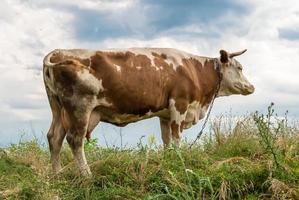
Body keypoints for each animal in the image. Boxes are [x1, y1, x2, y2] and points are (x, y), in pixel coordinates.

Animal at [43, 47, 255, 175]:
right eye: (240, 67)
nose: (251, 87)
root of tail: (57, 52)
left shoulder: (165, 114)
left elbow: (166, 139)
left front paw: (169, 161)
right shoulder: (179, 104)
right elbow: (176, 137)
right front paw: (179, 162)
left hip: (58, 108)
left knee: (54, 137)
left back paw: (56, 174)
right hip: (79, 107)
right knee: (75, 140)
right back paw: (87, 175)